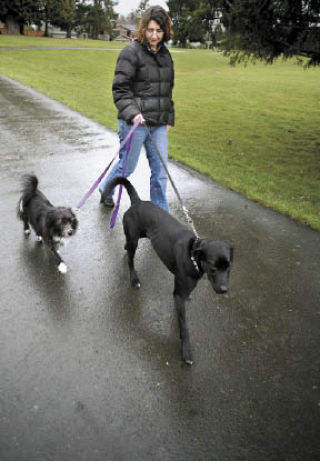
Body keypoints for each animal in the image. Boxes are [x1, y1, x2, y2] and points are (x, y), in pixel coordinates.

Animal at [104, 177, 234, 366]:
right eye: (213, 267)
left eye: (229, 267)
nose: (224, 290)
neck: (193, 255)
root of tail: (138, 202)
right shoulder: (178, 294)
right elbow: (184, 327)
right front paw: (186, 352)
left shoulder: (182, 293)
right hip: (135, 238)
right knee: (130, 259)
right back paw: (134, 279)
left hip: (141, 236)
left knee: (127, 247)